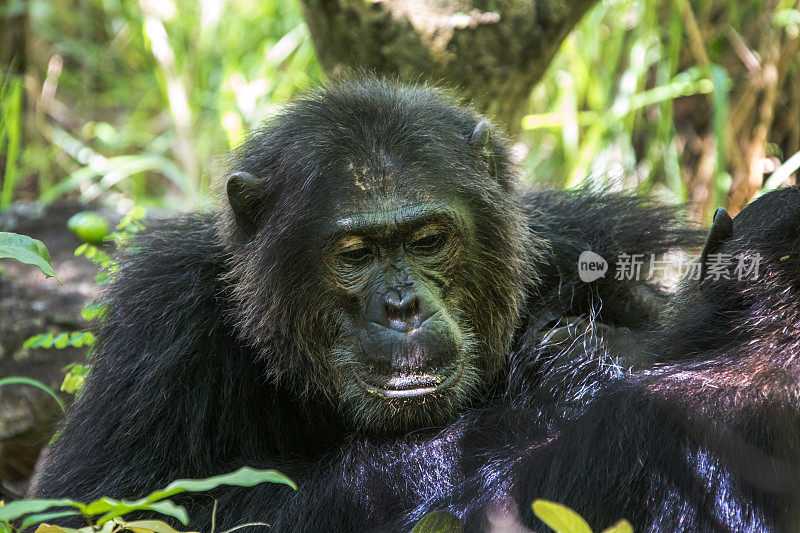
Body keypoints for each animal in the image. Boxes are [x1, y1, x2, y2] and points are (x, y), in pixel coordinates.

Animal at [29, 80, 800, 532]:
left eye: (429, 240)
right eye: (354, 253)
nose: (401, 305)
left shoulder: (590, 247)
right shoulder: (160, 323)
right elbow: (99, 505)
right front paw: (537, 402)